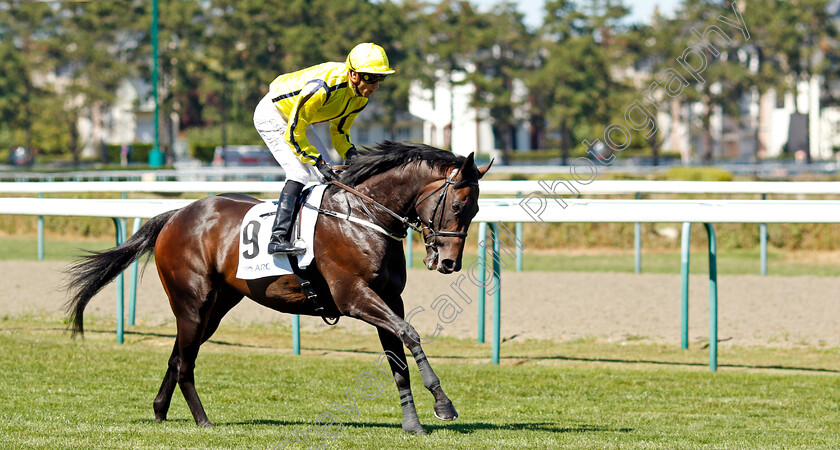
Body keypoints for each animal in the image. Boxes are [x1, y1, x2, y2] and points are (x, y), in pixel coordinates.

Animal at [65, 142, 492, 436]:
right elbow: (410, 334)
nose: (449, 263)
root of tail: (176, 214)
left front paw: (412, 423)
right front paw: (444, 404)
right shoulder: (354, 297)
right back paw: (203, 420)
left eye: (475, 211)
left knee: (178, 356)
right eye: (458, 206)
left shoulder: (389, 298)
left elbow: (398, 358)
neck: (363, 215)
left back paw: (159, 409)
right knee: (185, 363)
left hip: (214, 308)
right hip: (192, 302)